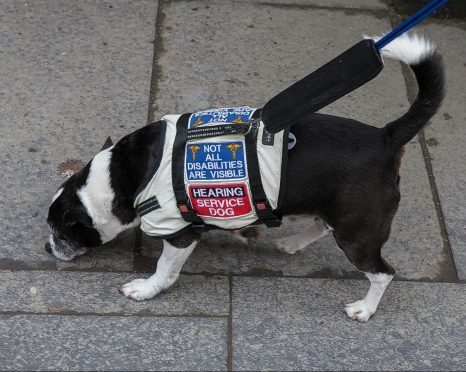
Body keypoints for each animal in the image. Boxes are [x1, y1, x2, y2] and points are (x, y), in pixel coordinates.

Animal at [46, 33, 444, 322]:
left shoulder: (178, 233)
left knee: (382, 272)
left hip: (357, 233)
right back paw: (293, 243)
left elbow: (164, 269)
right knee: (322, 224)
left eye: (64, 231)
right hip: (340, 214)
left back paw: (366, 308)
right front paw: (242, 232)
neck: (119, 176)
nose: (48, 249)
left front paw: (146, 289)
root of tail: (385, 137)